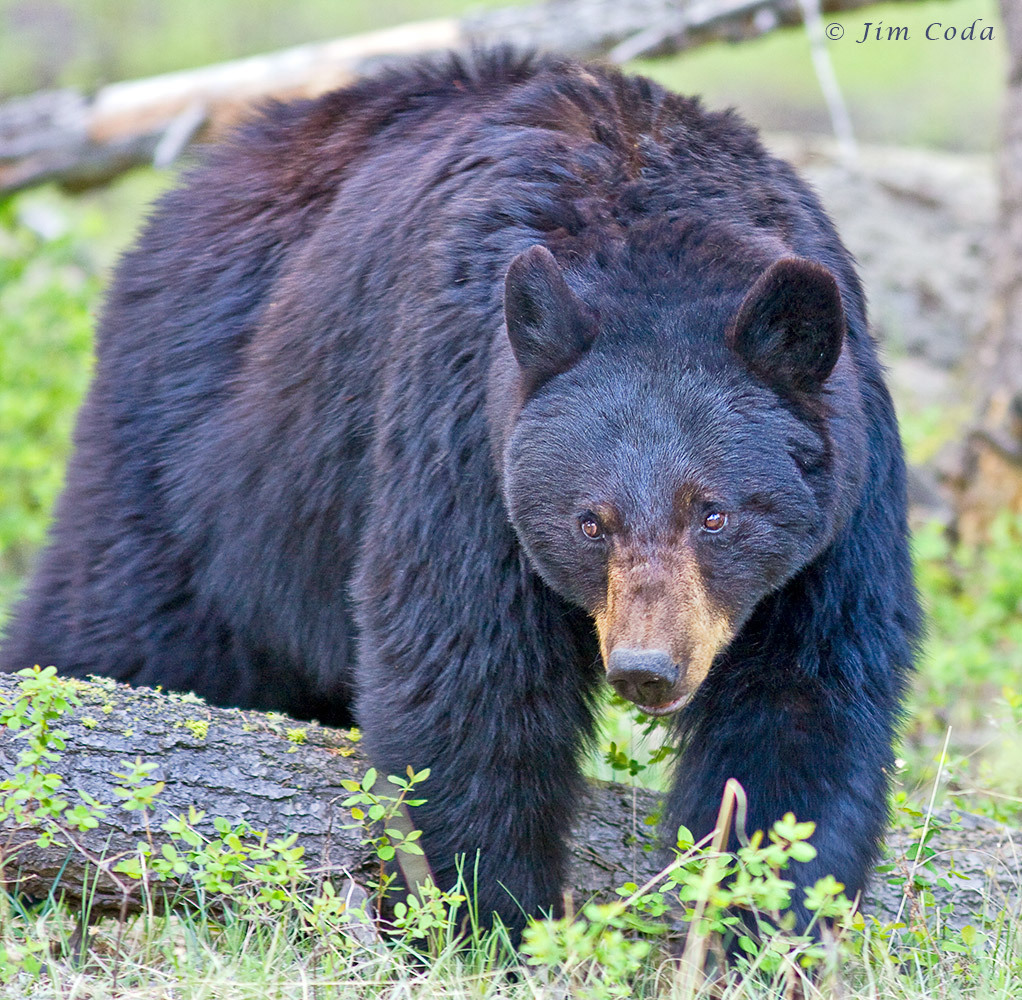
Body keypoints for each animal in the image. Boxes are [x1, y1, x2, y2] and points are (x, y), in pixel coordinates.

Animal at [0, 46, 923, 936]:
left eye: (715, 514)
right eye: (589, 522)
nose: (647, 670)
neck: (651, 222)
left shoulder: (847, 496)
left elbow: (806, 695)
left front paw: (763, 925)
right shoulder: (464, 426)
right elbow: (465, 668)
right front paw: (488, 920)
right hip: (189, 447)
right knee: (113, 616)